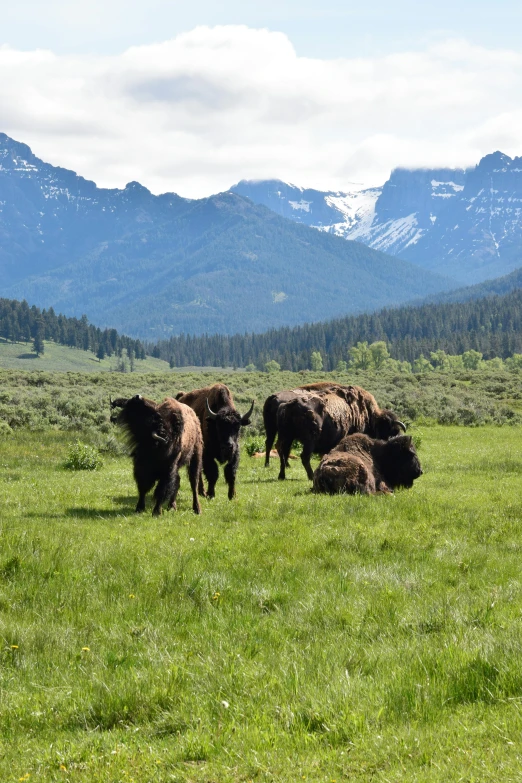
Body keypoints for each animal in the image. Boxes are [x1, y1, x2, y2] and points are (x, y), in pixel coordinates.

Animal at [274, 384, 404, 480]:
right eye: (390, 430)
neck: (369, 416)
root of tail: (290, 405)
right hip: (309, 440)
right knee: (304, 457)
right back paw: (310, 476)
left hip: (287, 437)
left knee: (283, 453)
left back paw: (282, 476)